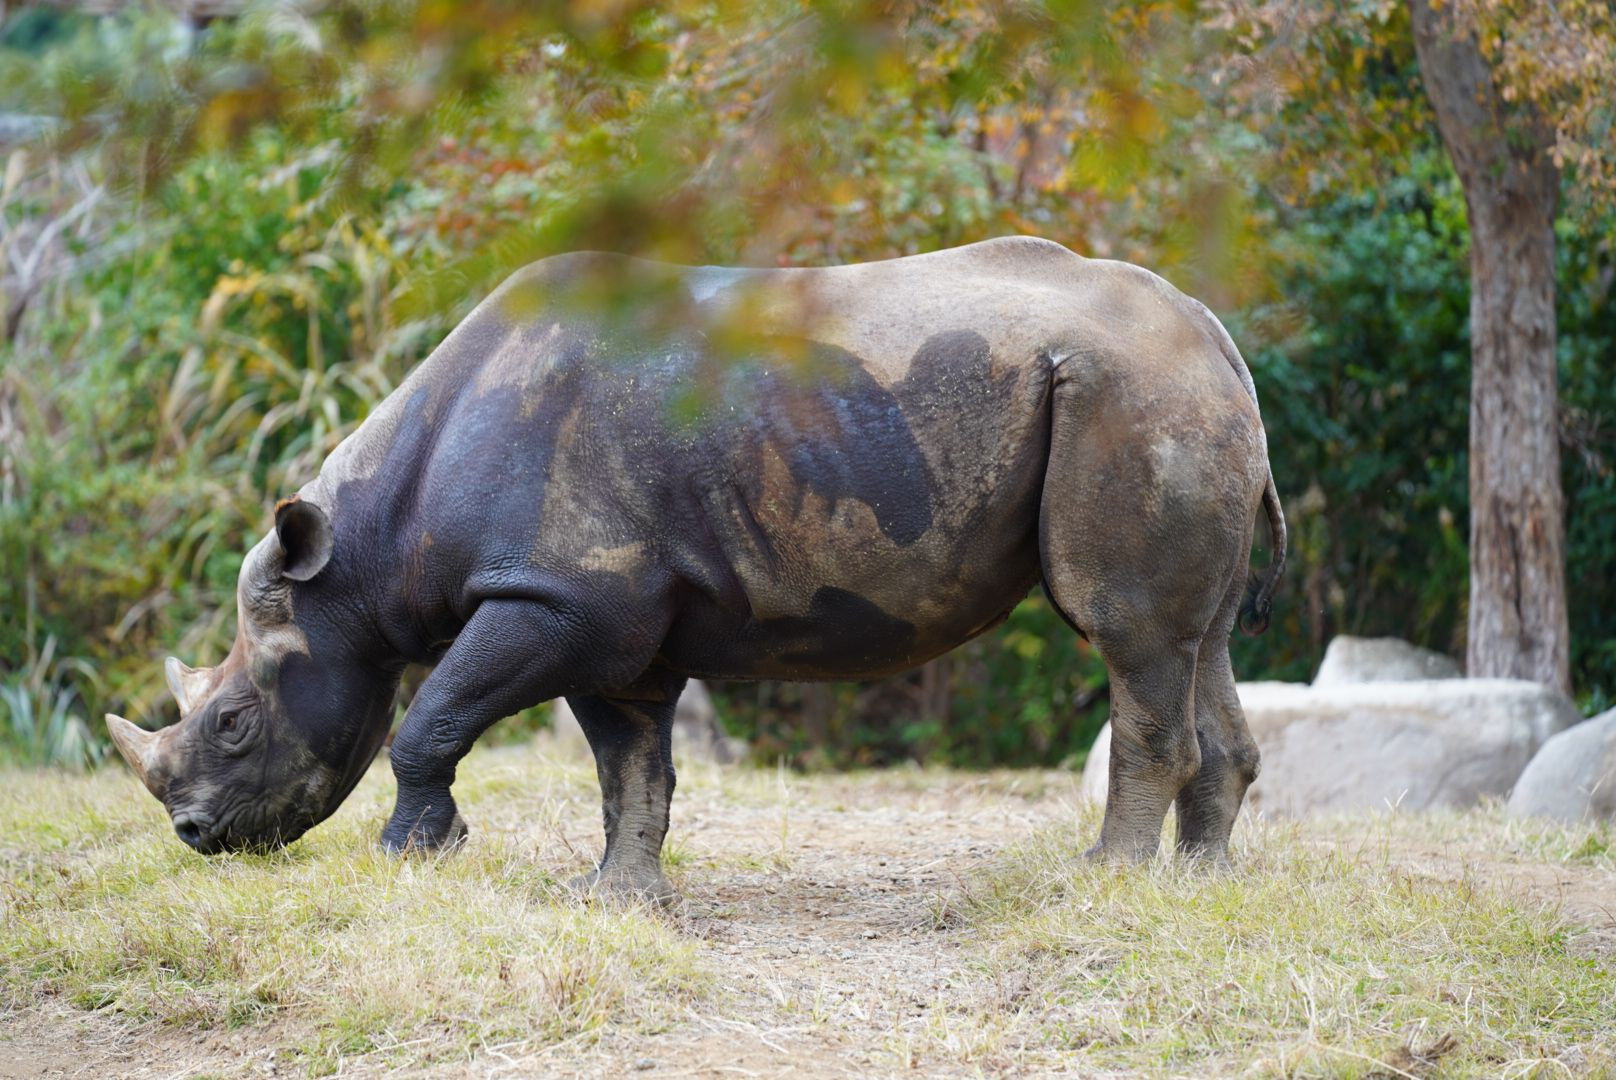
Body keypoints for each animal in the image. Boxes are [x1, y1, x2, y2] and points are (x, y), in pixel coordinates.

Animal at [107, 236, 1285, 899]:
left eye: (232, 722)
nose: (194, 836)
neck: (364, 559)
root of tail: (1209, 331)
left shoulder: (558, 593)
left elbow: (426, 720)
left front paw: (411, 861)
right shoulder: (604, 618)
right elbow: (631, 766)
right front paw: (614, 898)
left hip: (1124, 396)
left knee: (1125, 633)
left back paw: (1104, 886)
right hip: (1168, 400)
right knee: (1202, 641)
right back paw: (1203, 891)